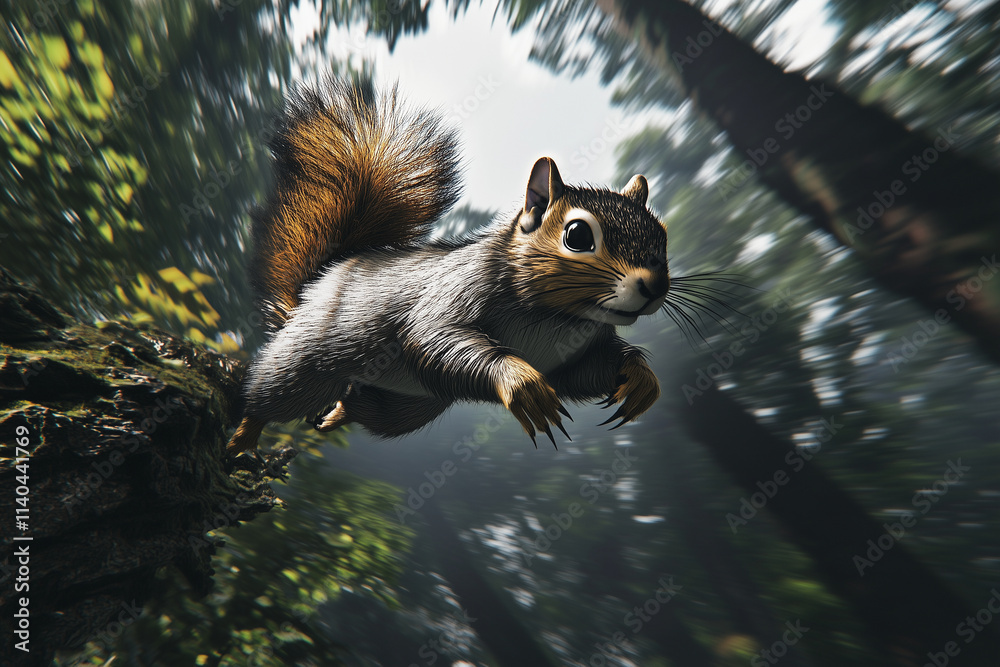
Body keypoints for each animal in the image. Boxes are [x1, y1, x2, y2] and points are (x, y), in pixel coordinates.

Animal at [227, 77, 669, 453]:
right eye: (577, 236)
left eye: (662, 236)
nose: (653, 286)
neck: (559, 318)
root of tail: (319, 281)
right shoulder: (457, 291)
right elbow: (434, 337)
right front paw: (521, 383)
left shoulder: (569, 360)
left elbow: (587, 374)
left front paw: (640, 377)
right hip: (308, 359)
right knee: (268, 396)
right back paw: (242, 441)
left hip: (408, 406)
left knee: (364, 408)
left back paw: (337, 414)